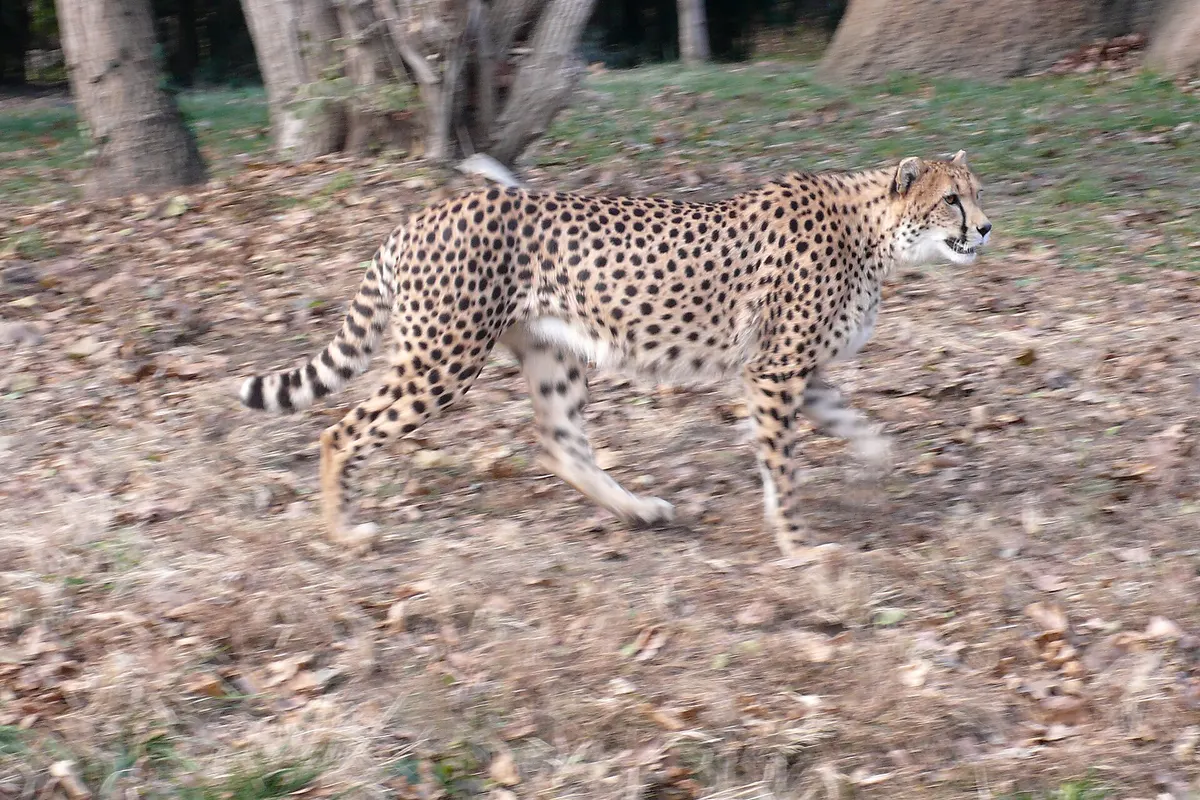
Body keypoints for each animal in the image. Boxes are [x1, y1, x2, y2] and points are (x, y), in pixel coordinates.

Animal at [238, 150, 992, 556]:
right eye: (952, 201)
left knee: (558, 441)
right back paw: (342, 532)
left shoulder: (792, 371)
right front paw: (800, 547)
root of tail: (420, 215)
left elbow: (854, 423)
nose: (986, 229)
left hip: (551, 355)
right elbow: (782, 468)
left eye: (977, 196)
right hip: (442, 359)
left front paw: (878, 463)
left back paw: (638, 510)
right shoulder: (776, 371)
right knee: (340, 432)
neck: (874, 234)